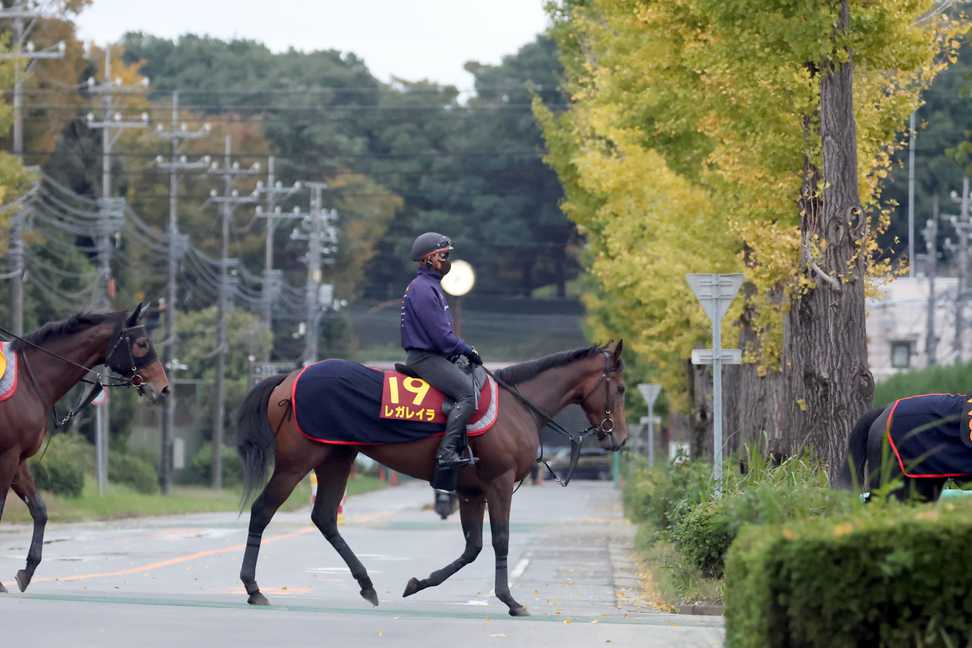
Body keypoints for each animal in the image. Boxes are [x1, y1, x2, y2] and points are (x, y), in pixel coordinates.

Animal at [0, 304, 169, 592]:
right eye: (142, 343)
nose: (164, 386)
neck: (29, 382)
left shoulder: (18, 459)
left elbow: (39, 510)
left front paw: (28, 570)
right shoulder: (7, 456)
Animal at [235, 342, 632, 616]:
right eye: (622, 389)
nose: (621, 438)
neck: (517, 406)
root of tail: (290, 378)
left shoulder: (472, 491)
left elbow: (472, 548)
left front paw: (419, 583)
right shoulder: (499, 484)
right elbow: (500, 540)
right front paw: (510, 599)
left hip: (336, 458)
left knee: (325, 517)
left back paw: (366, 583)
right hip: (296, 463)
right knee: (262, 511)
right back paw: (253, 588)